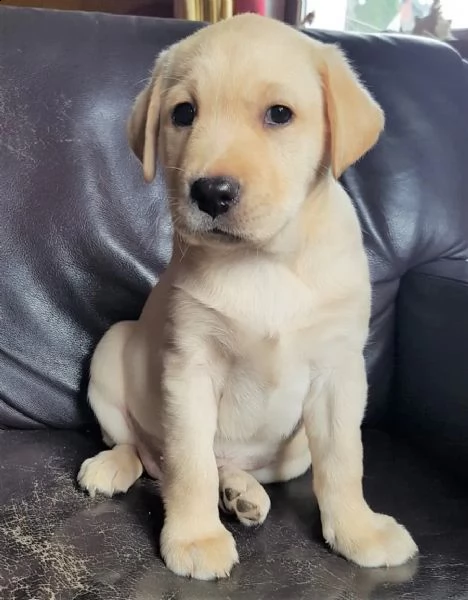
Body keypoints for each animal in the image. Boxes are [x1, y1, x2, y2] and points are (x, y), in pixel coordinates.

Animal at [78, 12, 418, 576]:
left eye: (279, 115)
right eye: (183, 113)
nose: (210, 192)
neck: (263, 260)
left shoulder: (340, 373)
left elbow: (344, 462)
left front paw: (358, 530)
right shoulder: (189, 368)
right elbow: (189, 464)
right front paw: (195, 537)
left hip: (294, 450)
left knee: (228, 464)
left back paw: (242, 492)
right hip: (111, 349)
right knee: (142, 450)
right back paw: (114, 466)